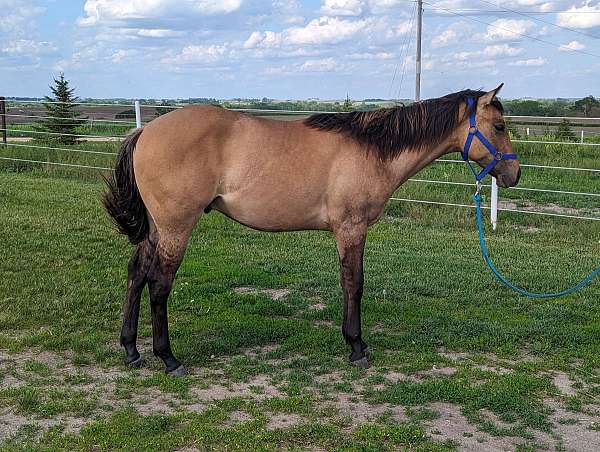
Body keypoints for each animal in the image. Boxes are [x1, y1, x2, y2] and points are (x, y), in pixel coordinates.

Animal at [103, 85, 520, 374]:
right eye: (498, 125)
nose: (514, 174)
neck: (372, 150)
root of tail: (144, 133)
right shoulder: (351, 229)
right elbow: (354, 283)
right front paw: (356, 347)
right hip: (176, 227)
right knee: (159, 285)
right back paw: (168, 358)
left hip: (157, 229)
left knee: (136, 273)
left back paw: (132, 350)